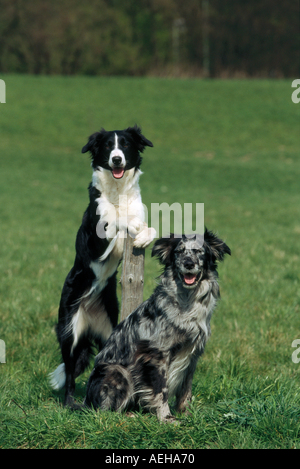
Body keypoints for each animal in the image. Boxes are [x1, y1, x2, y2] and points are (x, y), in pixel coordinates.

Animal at [49, 124, 155, 406]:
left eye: (125, 144)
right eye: (108, 146)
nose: (116, 159)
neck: (117, 191)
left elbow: (148, 228)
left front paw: (143, 234)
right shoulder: (95, 240)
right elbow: (115, 221)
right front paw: (130, 224)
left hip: (111, 333)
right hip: (69, 330)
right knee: (70, 373)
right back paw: (71, 404)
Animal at [85, 229, 231, 420]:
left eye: (199, 251)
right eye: (179, 252)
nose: (189, 263)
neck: (186, 303)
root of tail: (85, 401)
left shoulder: (192, 354)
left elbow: (186, 390)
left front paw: (186, 414)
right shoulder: (156, 353)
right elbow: (161, 389)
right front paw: (166, 418)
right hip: (118, 371)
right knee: (104, 412)